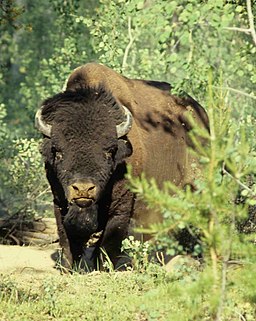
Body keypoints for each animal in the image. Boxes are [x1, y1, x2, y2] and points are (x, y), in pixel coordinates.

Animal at [34, 61, 210, 268]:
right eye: (58, 151)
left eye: (109, 151)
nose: (83, 189)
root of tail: (202, 115)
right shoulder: (59, 203)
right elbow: (67, 240)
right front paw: (68, 268)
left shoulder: (121, 208)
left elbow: (108, 242)